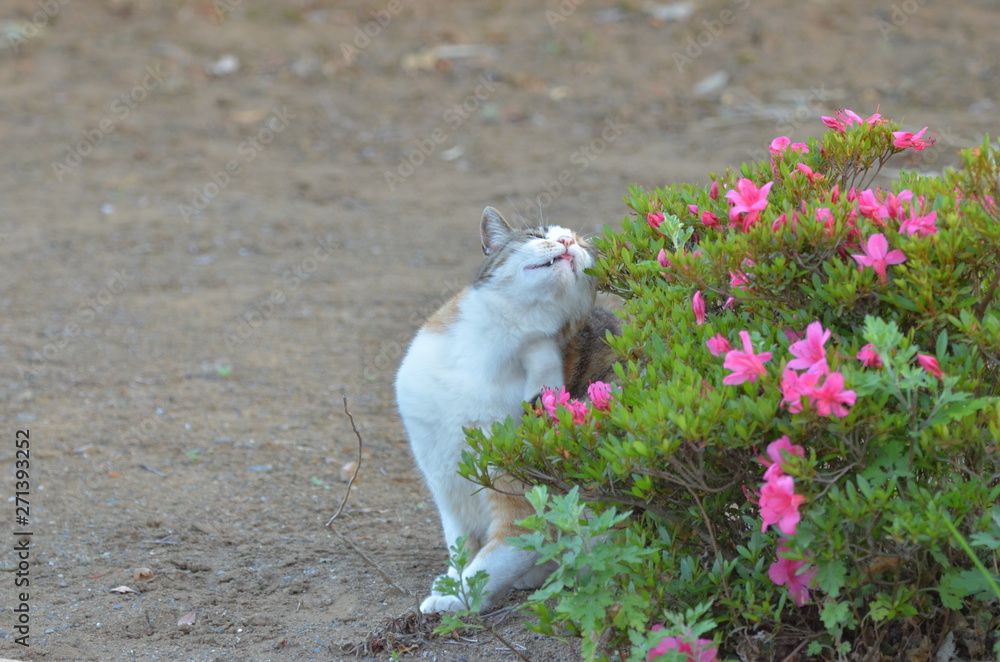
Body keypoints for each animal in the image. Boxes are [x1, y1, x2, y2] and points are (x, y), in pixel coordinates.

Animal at [392, 206, 616, 612]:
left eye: (584, 246)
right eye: (537, 234)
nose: (567, 241)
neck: (498, 346)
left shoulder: (522, 506)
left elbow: (486, 567)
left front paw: (452, 600)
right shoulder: (446, 485)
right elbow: (459, 547)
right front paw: (450, 581)